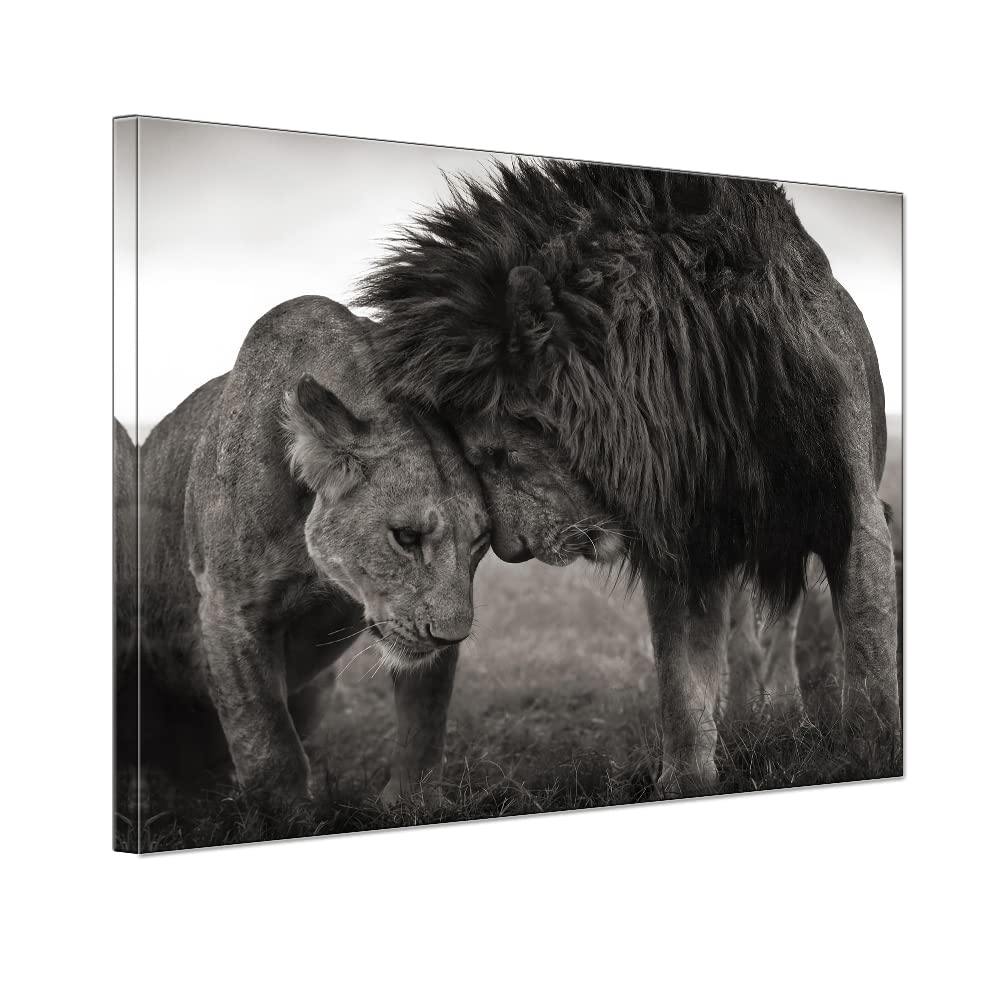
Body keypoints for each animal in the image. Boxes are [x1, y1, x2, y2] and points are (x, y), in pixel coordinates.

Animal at [133, 295, 490, 807]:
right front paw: (287, 815)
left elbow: (425, 724)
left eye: (480, 542)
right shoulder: (229, 609)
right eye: (405, 537)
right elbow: (268, 744)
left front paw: (410, 805)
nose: (451, 636)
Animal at [359, 160, 900, 795]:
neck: (701, 394)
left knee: (784, 619)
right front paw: (688, 777)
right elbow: (680, 679)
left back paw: (782, 711)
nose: (511, 551)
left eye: (494, 455)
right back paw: (744, 713)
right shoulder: (680, 539)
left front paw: (868, 758)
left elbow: (868, 661)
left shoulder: (852, 514)